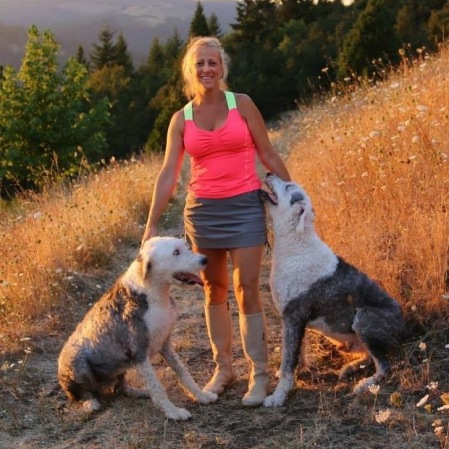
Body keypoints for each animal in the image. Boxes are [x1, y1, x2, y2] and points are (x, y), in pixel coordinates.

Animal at [57, 236, 218, 418]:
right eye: (176, 252)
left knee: (120, 389)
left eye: (186, 247)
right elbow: (157, 387)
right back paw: (90, 403)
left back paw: (140, 392)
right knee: (80, 393)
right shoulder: (139, 353)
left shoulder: (165, 344)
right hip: (76, 362)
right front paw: (173, 412)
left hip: (119, 366)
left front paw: (201, 396)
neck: (151, 293)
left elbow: (183, 372)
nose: (205, 259)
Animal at [258, 174, 404, 406]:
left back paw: (365, 384)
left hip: (363, 319)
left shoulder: (293, 317)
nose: (269, 174)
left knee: (384, 366)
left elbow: (287, 361)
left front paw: (278, 396)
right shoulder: (293, 321)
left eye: (289, 186)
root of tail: (406, 328)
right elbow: (296, 354)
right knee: (368, 357)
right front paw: (297, 373)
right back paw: (349, 368)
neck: (296, 243)